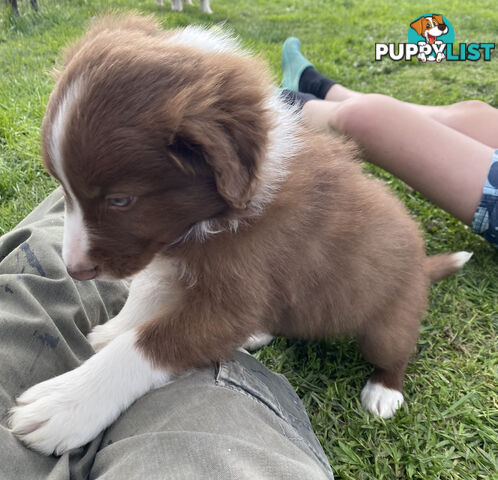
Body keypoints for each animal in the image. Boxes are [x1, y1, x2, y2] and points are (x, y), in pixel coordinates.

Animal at [8, 15, 470, 456]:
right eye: (61, 187)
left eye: (121, 200)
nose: (75, 269)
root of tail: (423, 264)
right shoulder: (173, 254)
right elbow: (146, 292)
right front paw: (112, 331)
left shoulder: (235, 294)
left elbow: (149, 343)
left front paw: (66, 403)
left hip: (388, 321)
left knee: (395, 352)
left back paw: (383, 391)